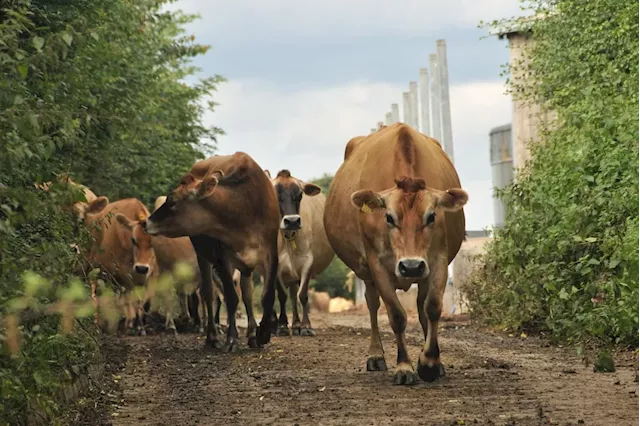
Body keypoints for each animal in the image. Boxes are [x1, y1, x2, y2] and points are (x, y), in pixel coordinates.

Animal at [83, 196, 159, 336]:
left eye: (154, 242)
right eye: (133, 240)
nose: (141, 268)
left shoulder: (152, 274)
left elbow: (146, 302)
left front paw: (140, 326)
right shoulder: (122, 274)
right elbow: (134, 299)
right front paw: (136, 327)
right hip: (92, 268)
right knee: (95, 294)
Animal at [148, 151, 282, 352]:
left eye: (172, 201)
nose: (147, 221)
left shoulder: (271, 252)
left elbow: (266, 295)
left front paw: (263, 334)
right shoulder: (222, 258)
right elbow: (231, 298)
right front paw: (231, 339)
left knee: (247, 294)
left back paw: (251, 334)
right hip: (202, 257)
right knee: (208, 293)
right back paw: (211, 336)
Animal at [266, 170, 332, 336]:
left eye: (300, 195)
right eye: (274, 194)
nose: (292, 221)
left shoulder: (308, 262)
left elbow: (302, 295)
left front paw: (306, 326)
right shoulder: (276, 266)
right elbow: (282, 296)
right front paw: (282, 326)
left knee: (294, 296)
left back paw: (296, 325)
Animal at [324, 123, 464, 386]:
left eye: (431, 215)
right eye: (388, 217)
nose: (411, 266)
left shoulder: (438, 259)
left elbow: (432, 307)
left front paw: (429, 363)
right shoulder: (377, 263)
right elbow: (396, 315)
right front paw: (405, 367)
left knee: (420, 306)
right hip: (366, 273)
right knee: (372, 303)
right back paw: (376, 355)